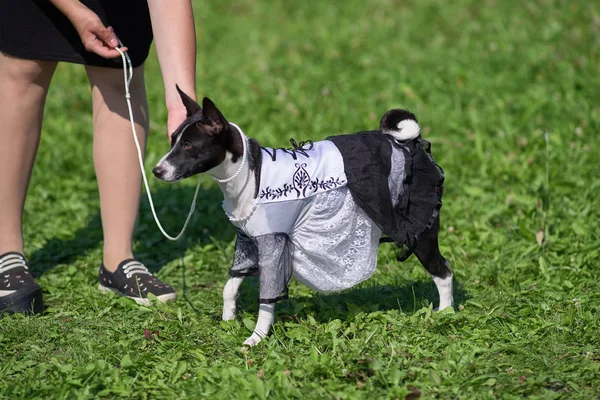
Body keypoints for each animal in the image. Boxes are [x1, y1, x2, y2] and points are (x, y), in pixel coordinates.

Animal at [152, 87, 452, 346]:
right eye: (172, 140)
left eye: (188, 146)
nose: (156, 170)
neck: (251, 173)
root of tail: (409, 144)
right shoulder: (248, 242)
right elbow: (230, 287)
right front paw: (228, 321)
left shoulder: (272, 243)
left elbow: (267, 300)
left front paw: (256, 339)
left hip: (420, 235)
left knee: (444, 273)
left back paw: (445, 315)